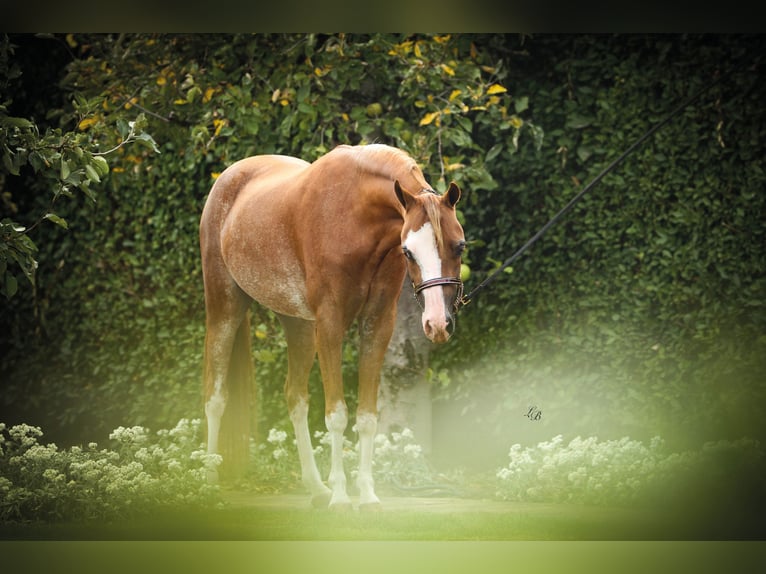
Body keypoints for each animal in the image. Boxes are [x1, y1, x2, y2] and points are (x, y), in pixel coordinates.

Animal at [201, 144, 464, 512]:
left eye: (459, 246)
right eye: (408, 251)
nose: (438, 324)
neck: (354, 217)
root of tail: (228, 178)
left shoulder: (377, 324)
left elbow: (367, 416)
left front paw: (367, 496)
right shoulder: (330, 323)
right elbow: (337, 414)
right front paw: (341, 498)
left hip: (298, 325)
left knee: (295, 397)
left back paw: (316, 488)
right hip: (224, 306)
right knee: (215, 394)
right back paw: (209, 482)